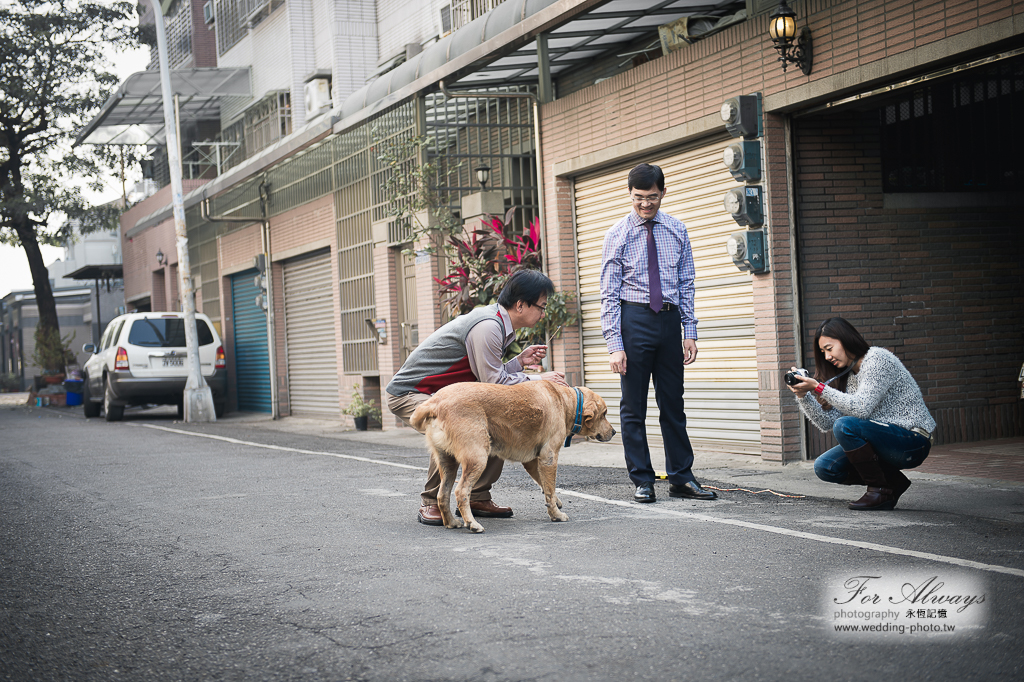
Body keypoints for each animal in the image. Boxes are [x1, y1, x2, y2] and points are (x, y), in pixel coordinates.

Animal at [407, 378, 614, 528]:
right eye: (604, 414)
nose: (613, 432)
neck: (566, 401)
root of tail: (435, 402)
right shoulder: (549, 458)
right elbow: (549, 489)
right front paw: (556, 514)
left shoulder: (533, 461)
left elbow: (547, 488)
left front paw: (556, 502)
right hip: (478, 457)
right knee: (461, 492)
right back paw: (472, 523)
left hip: (447, 462)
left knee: (442, 495)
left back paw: (451, 522)